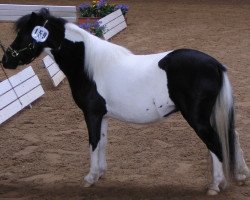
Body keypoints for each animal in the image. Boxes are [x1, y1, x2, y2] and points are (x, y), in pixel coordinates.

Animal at [1, 8, 248, 195]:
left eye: (25, 34)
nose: (6, 60)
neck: (89, 66)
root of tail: (215, 64)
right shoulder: (102, 116)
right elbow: (102, 142)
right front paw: (100, 173)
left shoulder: (91, 114)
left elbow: (92, 142)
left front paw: (90, 177)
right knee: (231, 135)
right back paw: (241, 175)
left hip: (197, 117)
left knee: (215, 142)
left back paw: (215, 185)